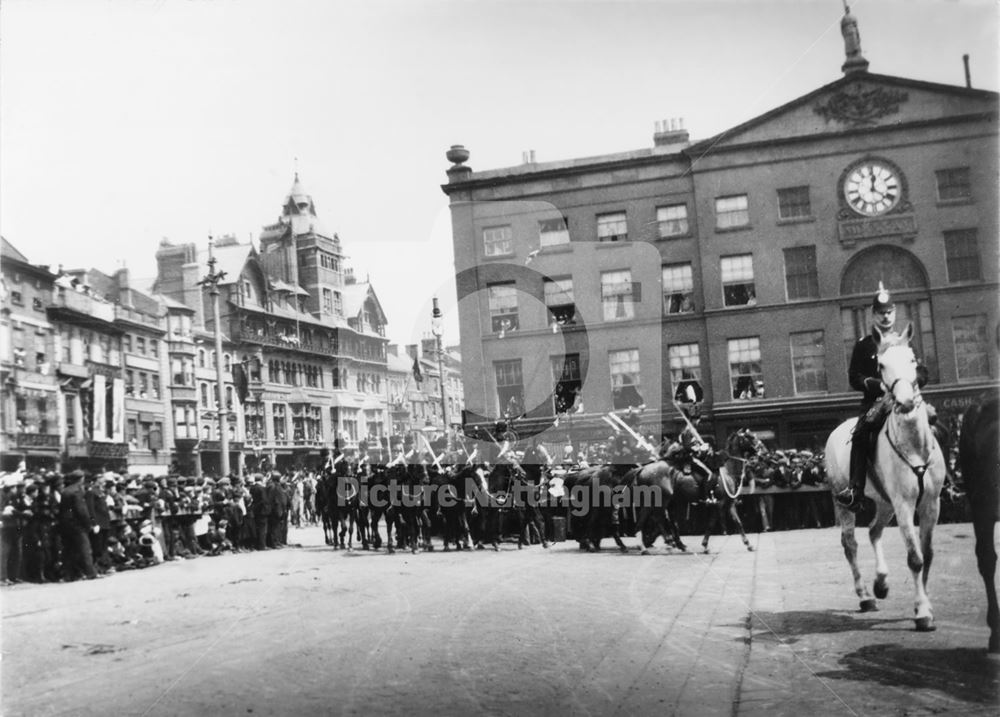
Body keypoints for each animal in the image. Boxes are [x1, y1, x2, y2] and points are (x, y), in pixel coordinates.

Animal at [824, 324, 948, 632]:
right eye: (880, 365)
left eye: (913, 360)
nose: (904, 402)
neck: (914, 445)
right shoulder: (904, 504)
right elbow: (915, 558)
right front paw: (922, 613)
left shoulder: (931, 503)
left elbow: (927, 555)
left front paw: (924, 603)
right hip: (844, 500)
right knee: (851, 544)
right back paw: (866, 595)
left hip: (884, 503)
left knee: (873, 531)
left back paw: (881, 583)